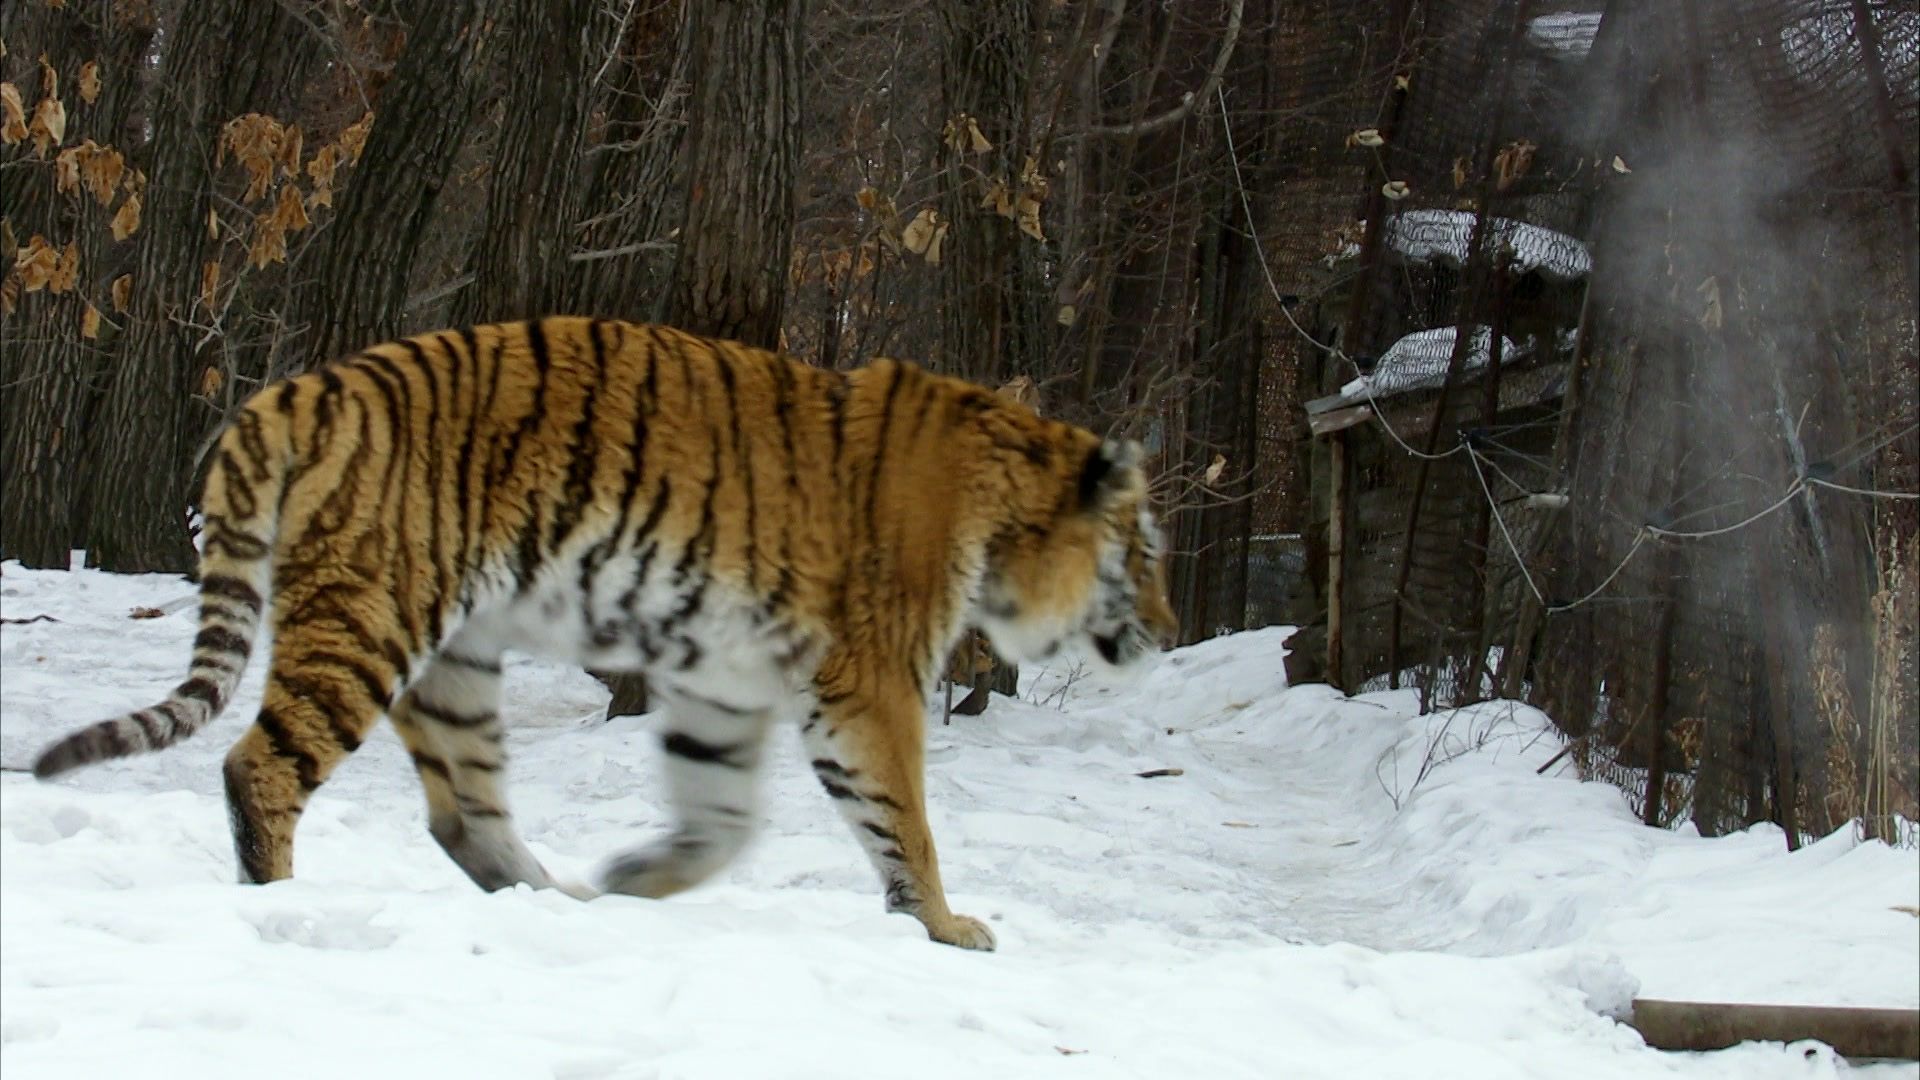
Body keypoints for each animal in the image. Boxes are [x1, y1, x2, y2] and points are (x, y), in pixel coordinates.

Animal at [30, 315, 1175, 945]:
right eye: (1148, 549)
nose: (1166, 630)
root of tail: (298, 388)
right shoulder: (874, 677)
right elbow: (906, 817)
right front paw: (945, 926)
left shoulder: (728, 679)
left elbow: (725, 813)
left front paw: (644, 881)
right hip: (367, 622)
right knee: (259, 767)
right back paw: (272, 903)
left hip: (452, 657)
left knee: (463, 812)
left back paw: (561, 900)